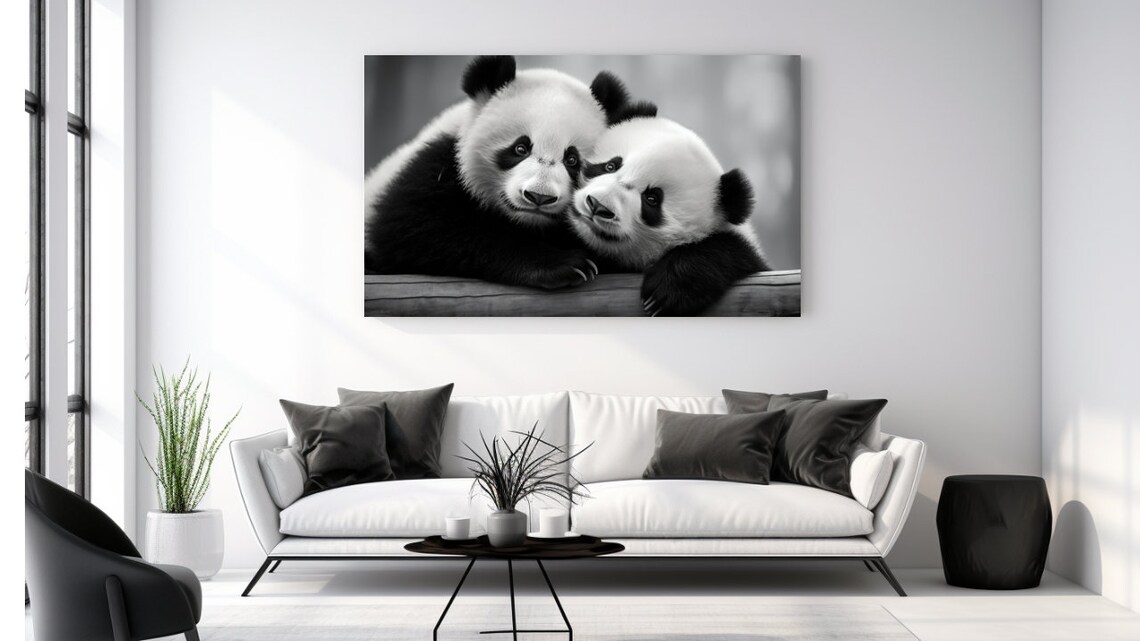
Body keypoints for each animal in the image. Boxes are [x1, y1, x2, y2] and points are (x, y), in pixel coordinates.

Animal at [364, 56, 636, 290]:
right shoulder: (435, 166)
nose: (539, 197)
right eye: (520, 148)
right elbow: (415, 227)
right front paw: (565, 265)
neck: (526, 222)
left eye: (572, 160)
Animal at [569, 115, 770, 316]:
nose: (597, 205)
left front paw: (663, 292)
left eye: (651, 199)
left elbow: (731, 251)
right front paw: (574, 264)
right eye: (610, 166)